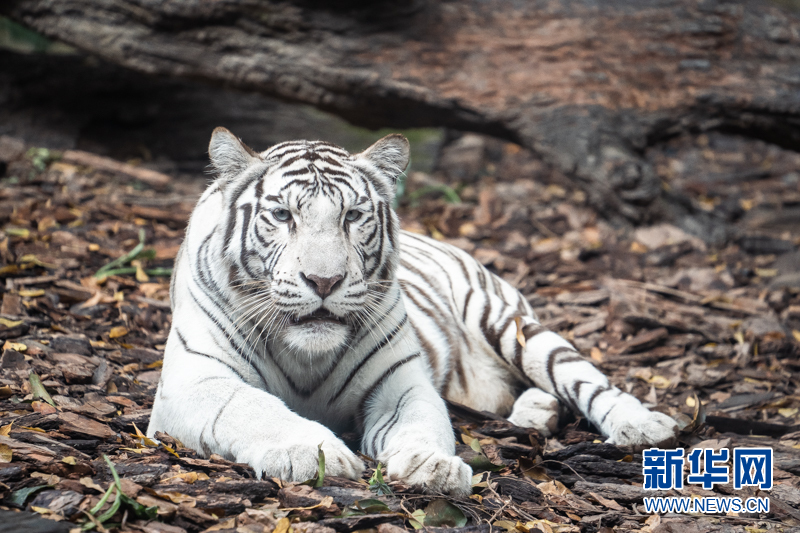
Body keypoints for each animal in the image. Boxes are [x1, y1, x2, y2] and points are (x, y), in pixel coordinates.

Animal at [147, 128, 680, 494]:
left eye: (352, 216)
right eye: (282, 216)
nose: (324, 281)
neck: (306, 354)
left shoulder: (399, 382)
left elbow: (421, 422)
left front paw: (432, 467)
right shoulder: (194, 381)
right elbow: (252, 408)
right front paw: (314, 453)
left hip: (509, 324)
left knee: (582, 379)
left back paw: (642, 426)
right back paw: (533, 414)